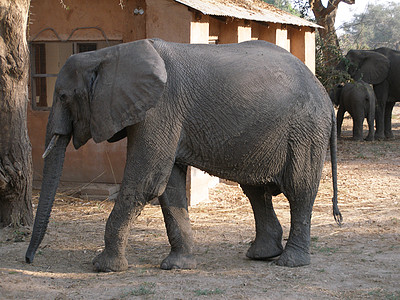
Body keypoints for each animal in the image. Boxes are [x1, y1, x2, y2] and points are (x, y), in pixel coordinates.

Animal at [25, 38, 342, 270]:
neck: (109, 54)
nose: (28, 259)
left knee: (298, 190)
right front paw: (177, 265)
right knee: (256, 191)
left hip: (305, 129)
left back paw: (290, 262)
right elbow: (169, 187)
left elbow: (145, 182)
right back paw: (261, 255)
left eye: (63, 96)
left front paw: (103, 267)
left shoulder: (160, 108)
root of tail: (325, 94)